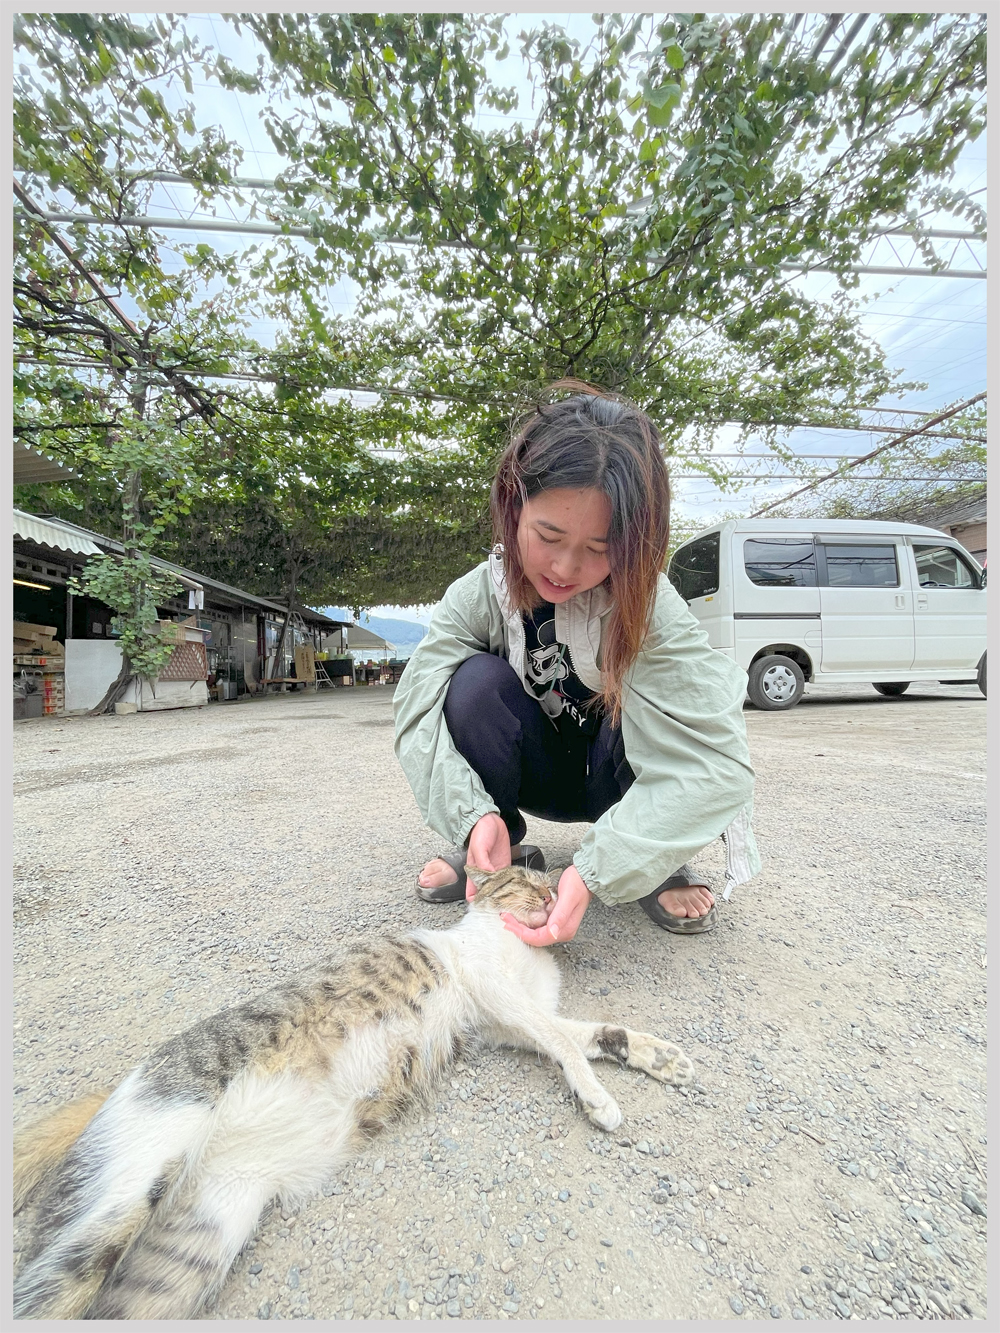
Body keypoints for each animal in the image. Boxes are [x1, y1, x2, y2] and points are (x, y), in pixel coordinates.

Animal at [15, 863, 693, 1322]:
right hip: (128, 1198)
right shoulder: (501, 999)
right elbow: (565, 1043)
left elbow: (589, 1032)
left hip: (191, 1248)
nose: (554, 895)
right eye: (522, 882)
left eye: (548, 885)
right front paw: (598, 1098)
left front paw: (658, 1056)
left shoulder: (507, 1023)